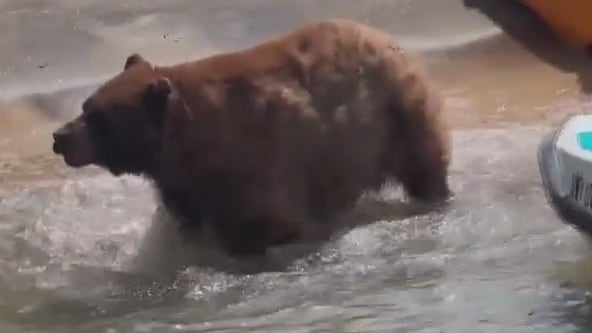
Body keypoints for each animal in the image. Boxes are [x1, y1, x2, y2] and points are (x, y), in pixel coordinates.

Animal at [53, 18, 450, 256]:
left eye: (100, 118)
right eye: (86, 105)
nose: (60, 136)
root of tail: (386, 38)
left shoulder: (252, 165)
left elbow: (268, 223)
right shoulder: (183, 184)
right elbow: (190, 221)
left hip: (400, 117)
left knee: (425, 168)